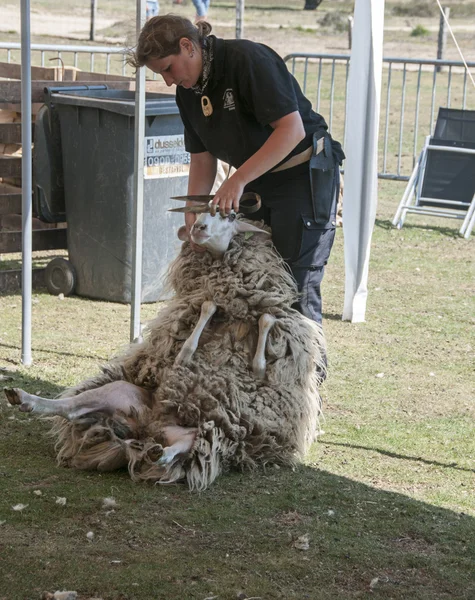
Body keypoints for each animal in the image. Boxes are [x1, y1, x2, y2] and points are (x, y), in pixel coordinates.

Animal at [5, 213, 328, 490]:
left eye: (230, 216)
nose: (197, 227)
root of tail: (143, 431)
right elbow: (204, 316)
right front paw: (189, 347)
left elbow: (264, 324)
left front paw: (256, 358)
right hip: (120, 391)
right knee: (71, 408)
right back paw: (25, 399)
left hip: (201, 434)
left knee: (172, 453)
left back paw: (154, 453)